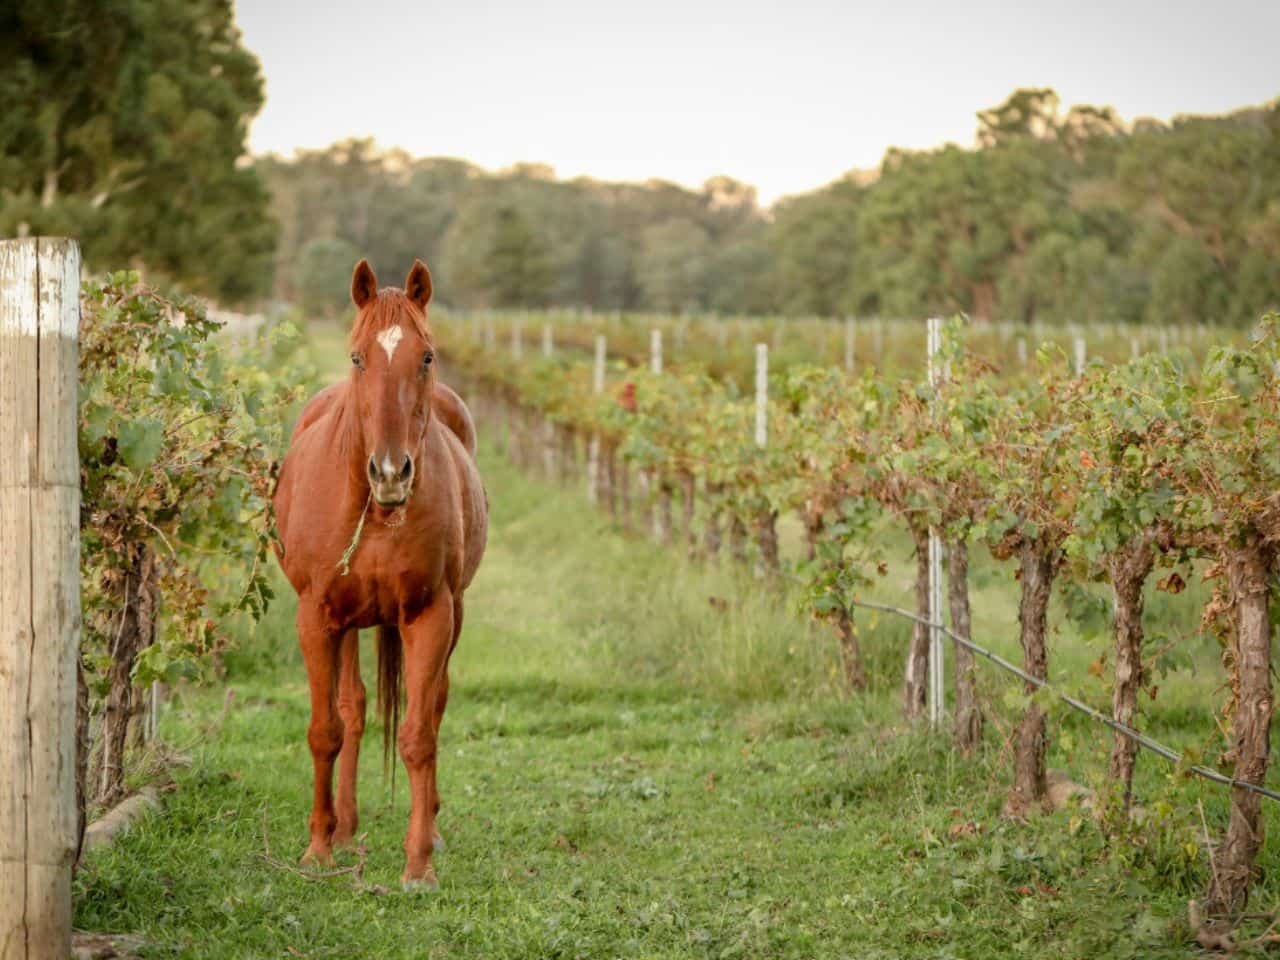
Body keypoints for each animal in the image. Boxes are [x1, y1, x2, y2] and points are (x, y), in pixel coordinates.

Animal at [272, 259, 486, 890]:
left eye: (428, 356)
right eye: (357, 357)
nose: (391, 473)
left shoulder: (430, 615)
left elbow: (418, 735)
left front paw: (419, 864)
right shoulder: (317, 618)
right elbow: (326, 730)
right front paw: (318, 849)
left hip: (448, 616)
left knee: (431, 704)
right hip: (345, 624)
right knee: (353, 710)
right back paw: (343, 829)